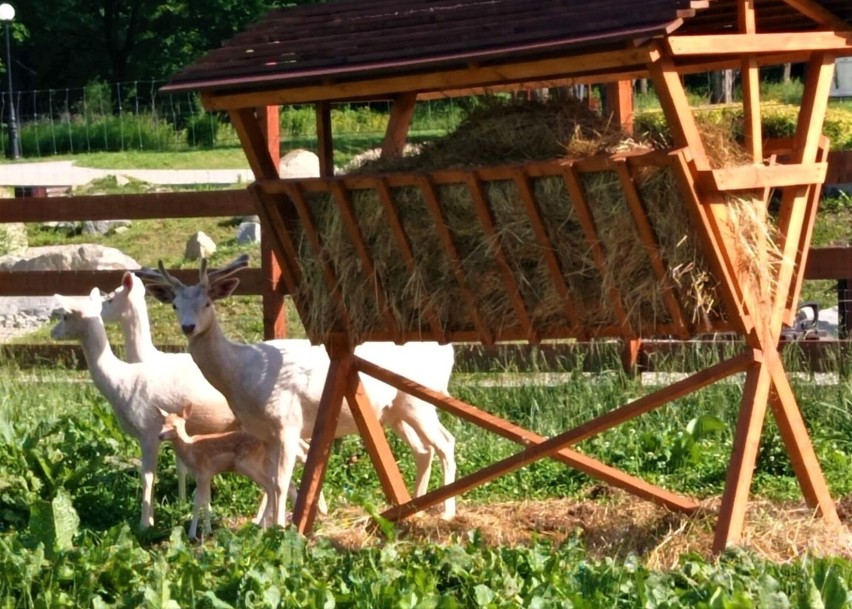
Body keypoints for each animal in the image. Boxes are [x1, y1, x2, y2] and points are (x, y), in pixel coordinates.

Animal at [138, 254, 460, 524]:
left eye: (207, 302)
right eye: (175, 305)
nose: (188, 327)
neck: (241, 379)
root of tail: (449, 351)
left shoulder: (287, 425)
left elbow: (281, 482)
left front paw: (280, 527)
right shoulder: (263, 433)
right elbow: (270, 482)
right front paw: (264, 527)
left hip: (421, 400)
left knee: (446, 442)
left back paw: (446, 512)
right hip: (395, 411)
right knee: (423, 450)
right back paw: (417, 506)